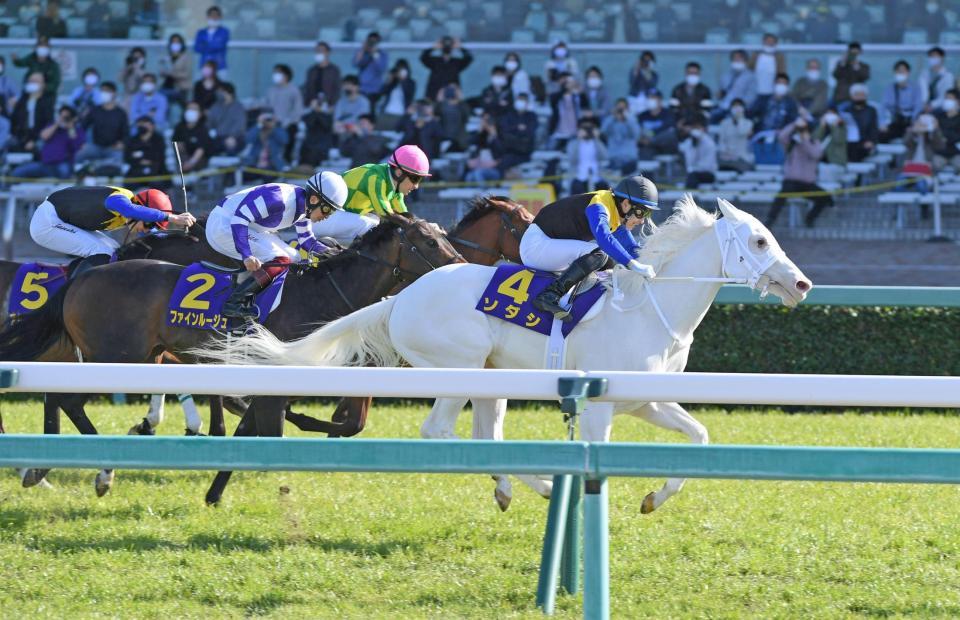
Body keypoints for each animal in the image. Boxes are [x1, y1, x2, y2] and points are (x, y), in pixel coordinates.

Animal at [0, 213, 464, 494]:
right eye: (428, 241)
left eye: (443, 236)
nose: (461, 267)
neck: (321, 293)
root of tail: (80, 279)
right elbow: (271, 429)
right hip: (114, 357)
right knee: (67, 400)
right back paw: (99, 470)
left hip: (131, 356)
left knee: (62, 398)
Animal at [201, 199, 808, 512]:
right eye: (759, 240)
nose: (801, 284)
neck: (650, 305)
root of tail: (400, 298)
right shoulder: (601, 406)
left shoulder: (645, 401)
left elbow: (700, 438)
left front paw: (655, 498)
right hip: (459, 368)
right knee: (442, 433)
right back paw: (541, 484)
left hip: (492, 377)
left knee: (485, 438)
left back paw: (514, 485)